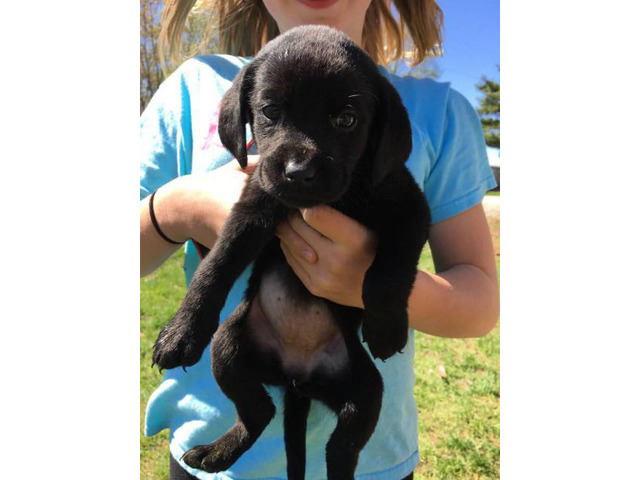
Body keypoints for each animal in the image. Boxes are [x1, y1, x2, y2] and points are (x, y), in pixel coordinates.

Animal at [152, 25, 430, 480]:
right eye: (269, 111)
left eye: (346, 119)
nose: (299, 172)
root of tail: (298, 381)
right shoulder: (254, 207)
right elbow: (217, 265)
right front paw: (183, 331)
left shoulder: (409, 207)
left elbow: (390, 271)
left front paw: (387, 325)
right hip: (228, 349)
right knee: (259, 413)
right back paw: (216, 452)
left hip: (366, 392)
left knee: (342, 450)